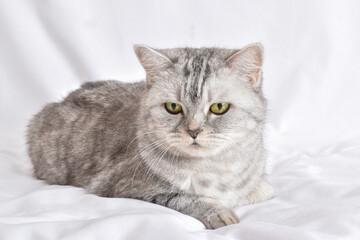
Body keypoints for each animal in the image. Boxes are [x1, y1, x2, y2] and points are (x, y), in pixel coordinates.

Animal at [26, 43, 274, 229]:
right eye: (173, 107)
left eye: (219, 107)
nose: (193, 131)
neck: (217, 168)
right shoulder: (126, 187)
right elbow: (184, 198)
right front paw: (218, 213)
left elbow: (261, 189)